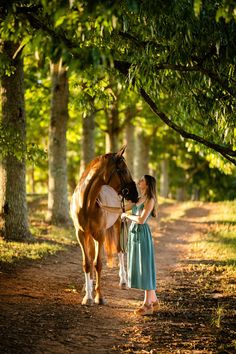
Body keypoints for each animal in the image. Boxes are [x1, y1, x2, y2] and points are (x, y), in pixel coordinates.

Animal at [69, 147, 138, 304]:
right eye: (123, 170)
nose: (135, 194)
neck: (86, 204)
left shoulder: (100, 235)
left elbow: (98, 264)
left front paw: (99, 297)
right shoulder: (80, 234)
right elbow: (87, 263)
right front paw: (88, 296)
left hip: (118, 224)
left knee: (120, 250)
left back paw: (123, 282)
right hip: (89, 236)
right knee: (91, 256)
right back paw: (88, 286)